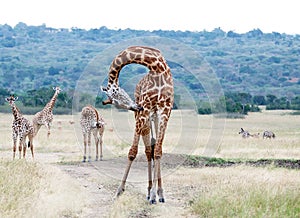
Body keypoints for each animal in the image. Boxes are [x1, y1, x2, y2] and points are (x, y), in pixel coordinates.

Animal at [102, 45, 175, 204]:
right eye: (115, 100)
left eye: (115, 95)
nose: (136, 107)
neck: (156, 67)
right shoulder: (146, 108)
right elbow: (133, 152)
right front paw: (119, 191)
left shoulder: (165, 110)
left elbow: (158, 151)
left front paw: (157, 194)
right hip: (146, 116)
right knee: (148, 150)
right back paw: (148, 191)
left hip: (154, 116)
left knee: (155, 147)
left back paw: (158, 193)